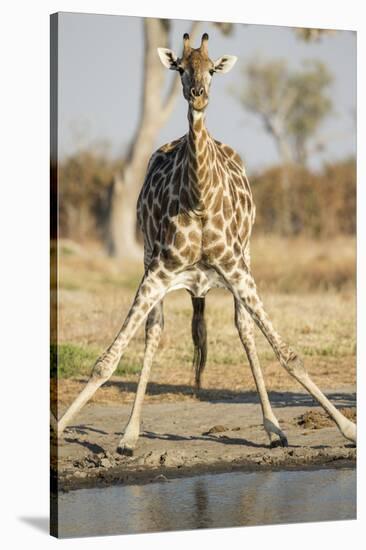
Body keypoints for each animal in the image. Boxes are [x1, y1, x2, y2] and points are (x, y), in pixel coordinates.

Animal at [55, 33, 358, 458]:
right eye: (181, 68)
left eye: (212, 69)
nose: (198, 96)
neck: (198, 199)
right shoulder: (156, 272)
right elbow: (108, 359)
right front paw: (64, 427)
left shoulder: (236, 268)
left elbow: (288, 354)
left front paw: (348, 428)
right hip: (151, 262)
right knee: (154, 332)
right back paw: (131, 433)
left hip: (245, 261)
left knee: (245, 330)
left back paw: (274, 429)